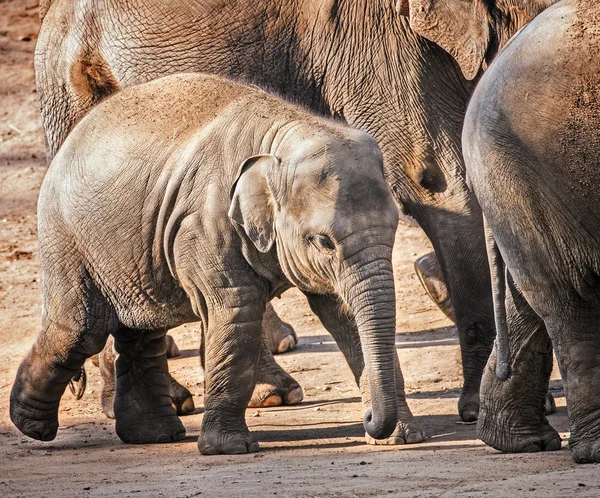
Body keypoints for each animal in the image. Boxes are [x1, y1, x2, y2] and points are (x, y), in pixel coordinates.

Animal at [11, 74, 404, 456]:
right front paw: (230, 449)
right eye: (323, 241)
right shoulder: (204, 224)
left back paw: (155, 436)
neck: (285, 131)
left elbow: (342, 311)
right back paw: (32, 426)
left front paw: (400, 437)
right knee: (80, 331)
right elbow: (236, 309)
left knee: (142, 331)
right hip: (68, 239)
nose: (369, 419)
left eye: (396, 227)